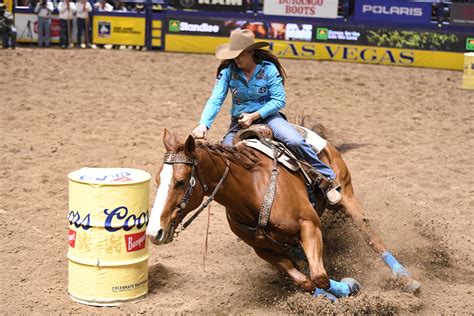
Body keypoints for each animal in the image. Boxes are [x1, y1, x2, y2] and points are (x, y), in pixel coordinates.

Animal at [146, 128, 420, 296]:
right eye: (158, 179)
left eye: (181, 182)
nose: (153, 232)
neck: (252, 191)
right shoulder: (264, 249)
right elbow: (307, 281)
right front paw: (343, 289)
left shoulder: (309, 226)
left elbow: (319, 277)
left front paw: (348, 287)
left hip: (348, 198)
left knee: (372, 239)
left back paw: (408, 280)